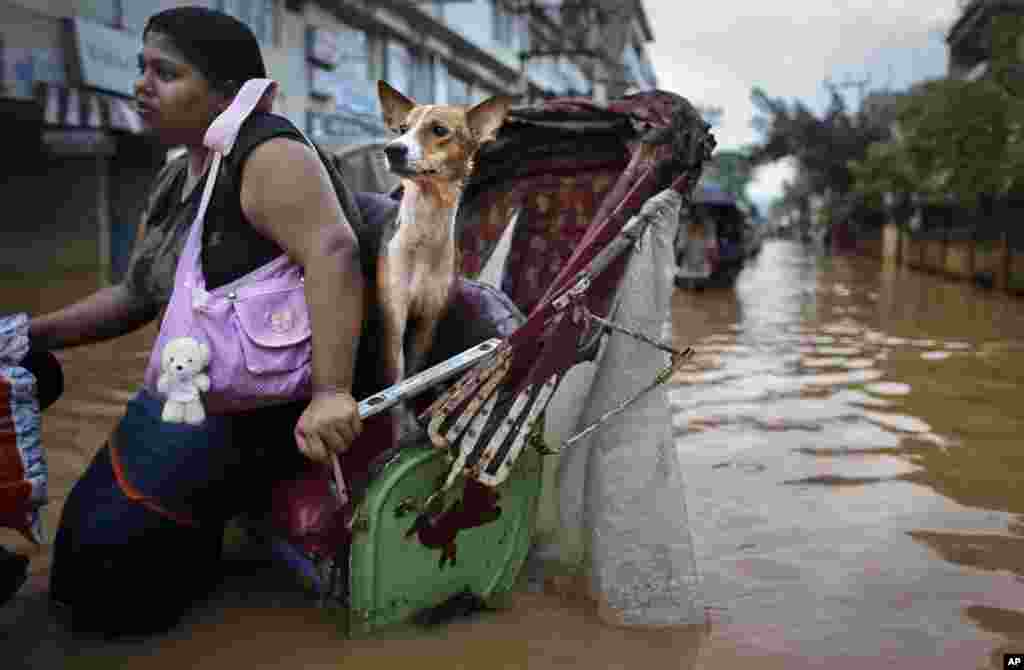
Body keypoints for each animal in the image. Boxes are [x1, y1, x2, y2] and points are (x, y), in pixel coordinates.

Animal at [376, 81, 512, 436]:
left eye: (439, 130)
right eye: (402, 129)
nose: (392, 149)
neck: (424, 236)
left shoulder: (429, 318)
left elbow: (414, 374)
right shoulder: (393, 315)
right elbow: (395, 382)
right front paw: (398, 431)